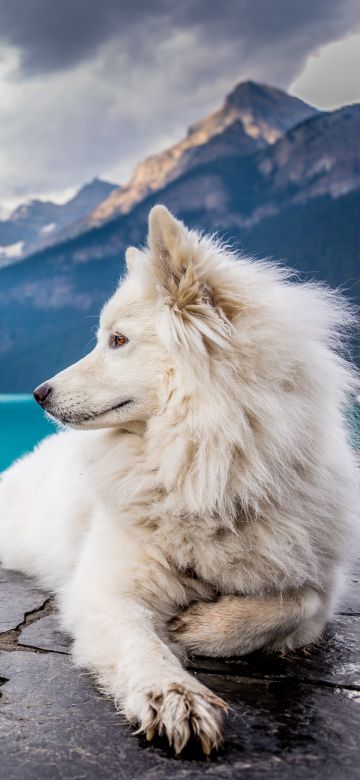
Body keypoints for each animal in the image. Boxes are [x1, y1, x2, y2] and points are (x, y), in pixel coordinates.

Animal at [0, 204, 358, 752]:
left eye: (118, 340)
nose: (39, 393)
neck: (205, 466)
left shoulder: (321, 580)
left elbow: (293, 603)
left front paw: (202, 627)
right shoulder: (107, 589)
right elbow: (141, 647)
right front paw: (173, 696)